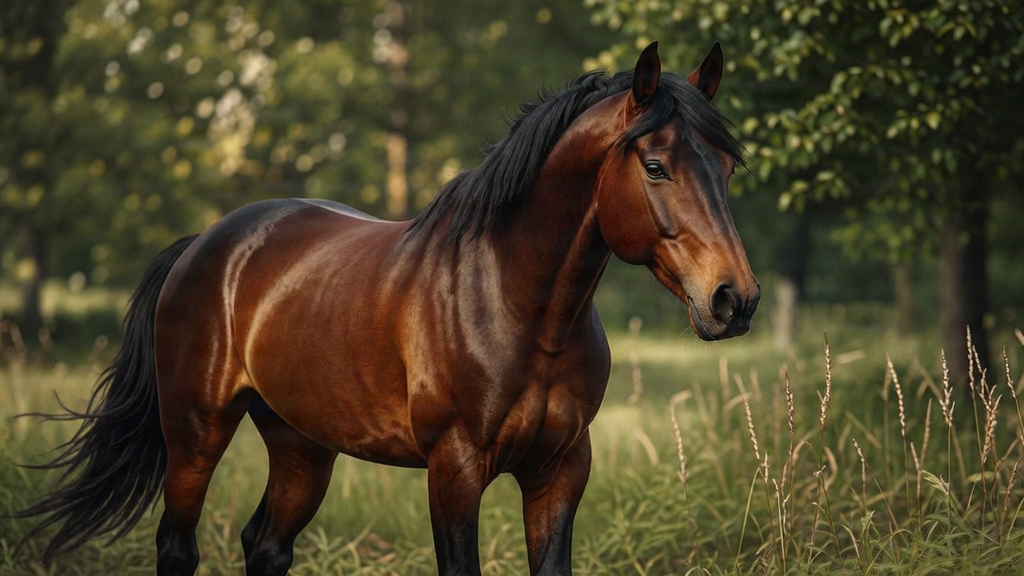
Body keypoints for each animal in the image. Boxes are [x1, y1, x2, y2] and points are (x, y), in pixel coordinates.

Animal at [17, 42, 759, 575]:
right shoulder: (455, 471)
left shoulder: (561, 471)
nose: (734, 299)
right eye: (656, 167)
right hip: (196, 434)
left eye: (727, 167)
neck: (516, 303)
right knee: (178, 546)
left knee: (265, 544)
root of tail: (203, 244)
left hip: (301, 446)